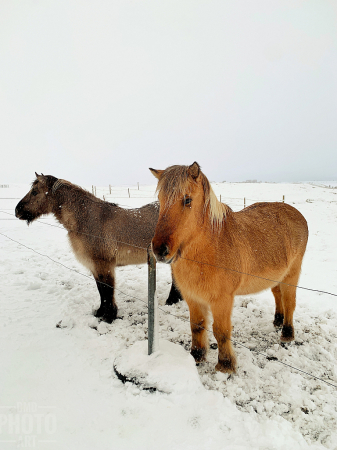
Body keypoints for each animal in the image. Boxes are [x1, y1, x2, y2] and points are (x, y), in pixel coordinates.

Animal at [15, 173, 181, 324]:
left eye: (34, 191)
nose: (17, 210)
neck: (87, 220)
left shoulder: (104, 265)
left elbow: (107, 291)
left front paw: (108, 317)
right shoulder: (95, 266)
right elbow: (101, 290)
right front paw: (99, 313)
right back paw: (172, 301)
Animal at [151, 162, 308, 372]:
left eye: (187, 200)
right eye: (160, 200)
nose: (160, 249)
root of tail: (297, 214)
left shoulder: (222, 299)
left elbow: (221, 331)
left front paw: (225, 365)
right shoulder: (192, 297)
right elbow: (197, 326)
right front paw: (197, 356)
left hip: (292, 274)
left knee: (290, 302)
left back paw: (287, 333)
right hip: (277, 276)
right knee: (278, 295)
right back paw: (277, 320)